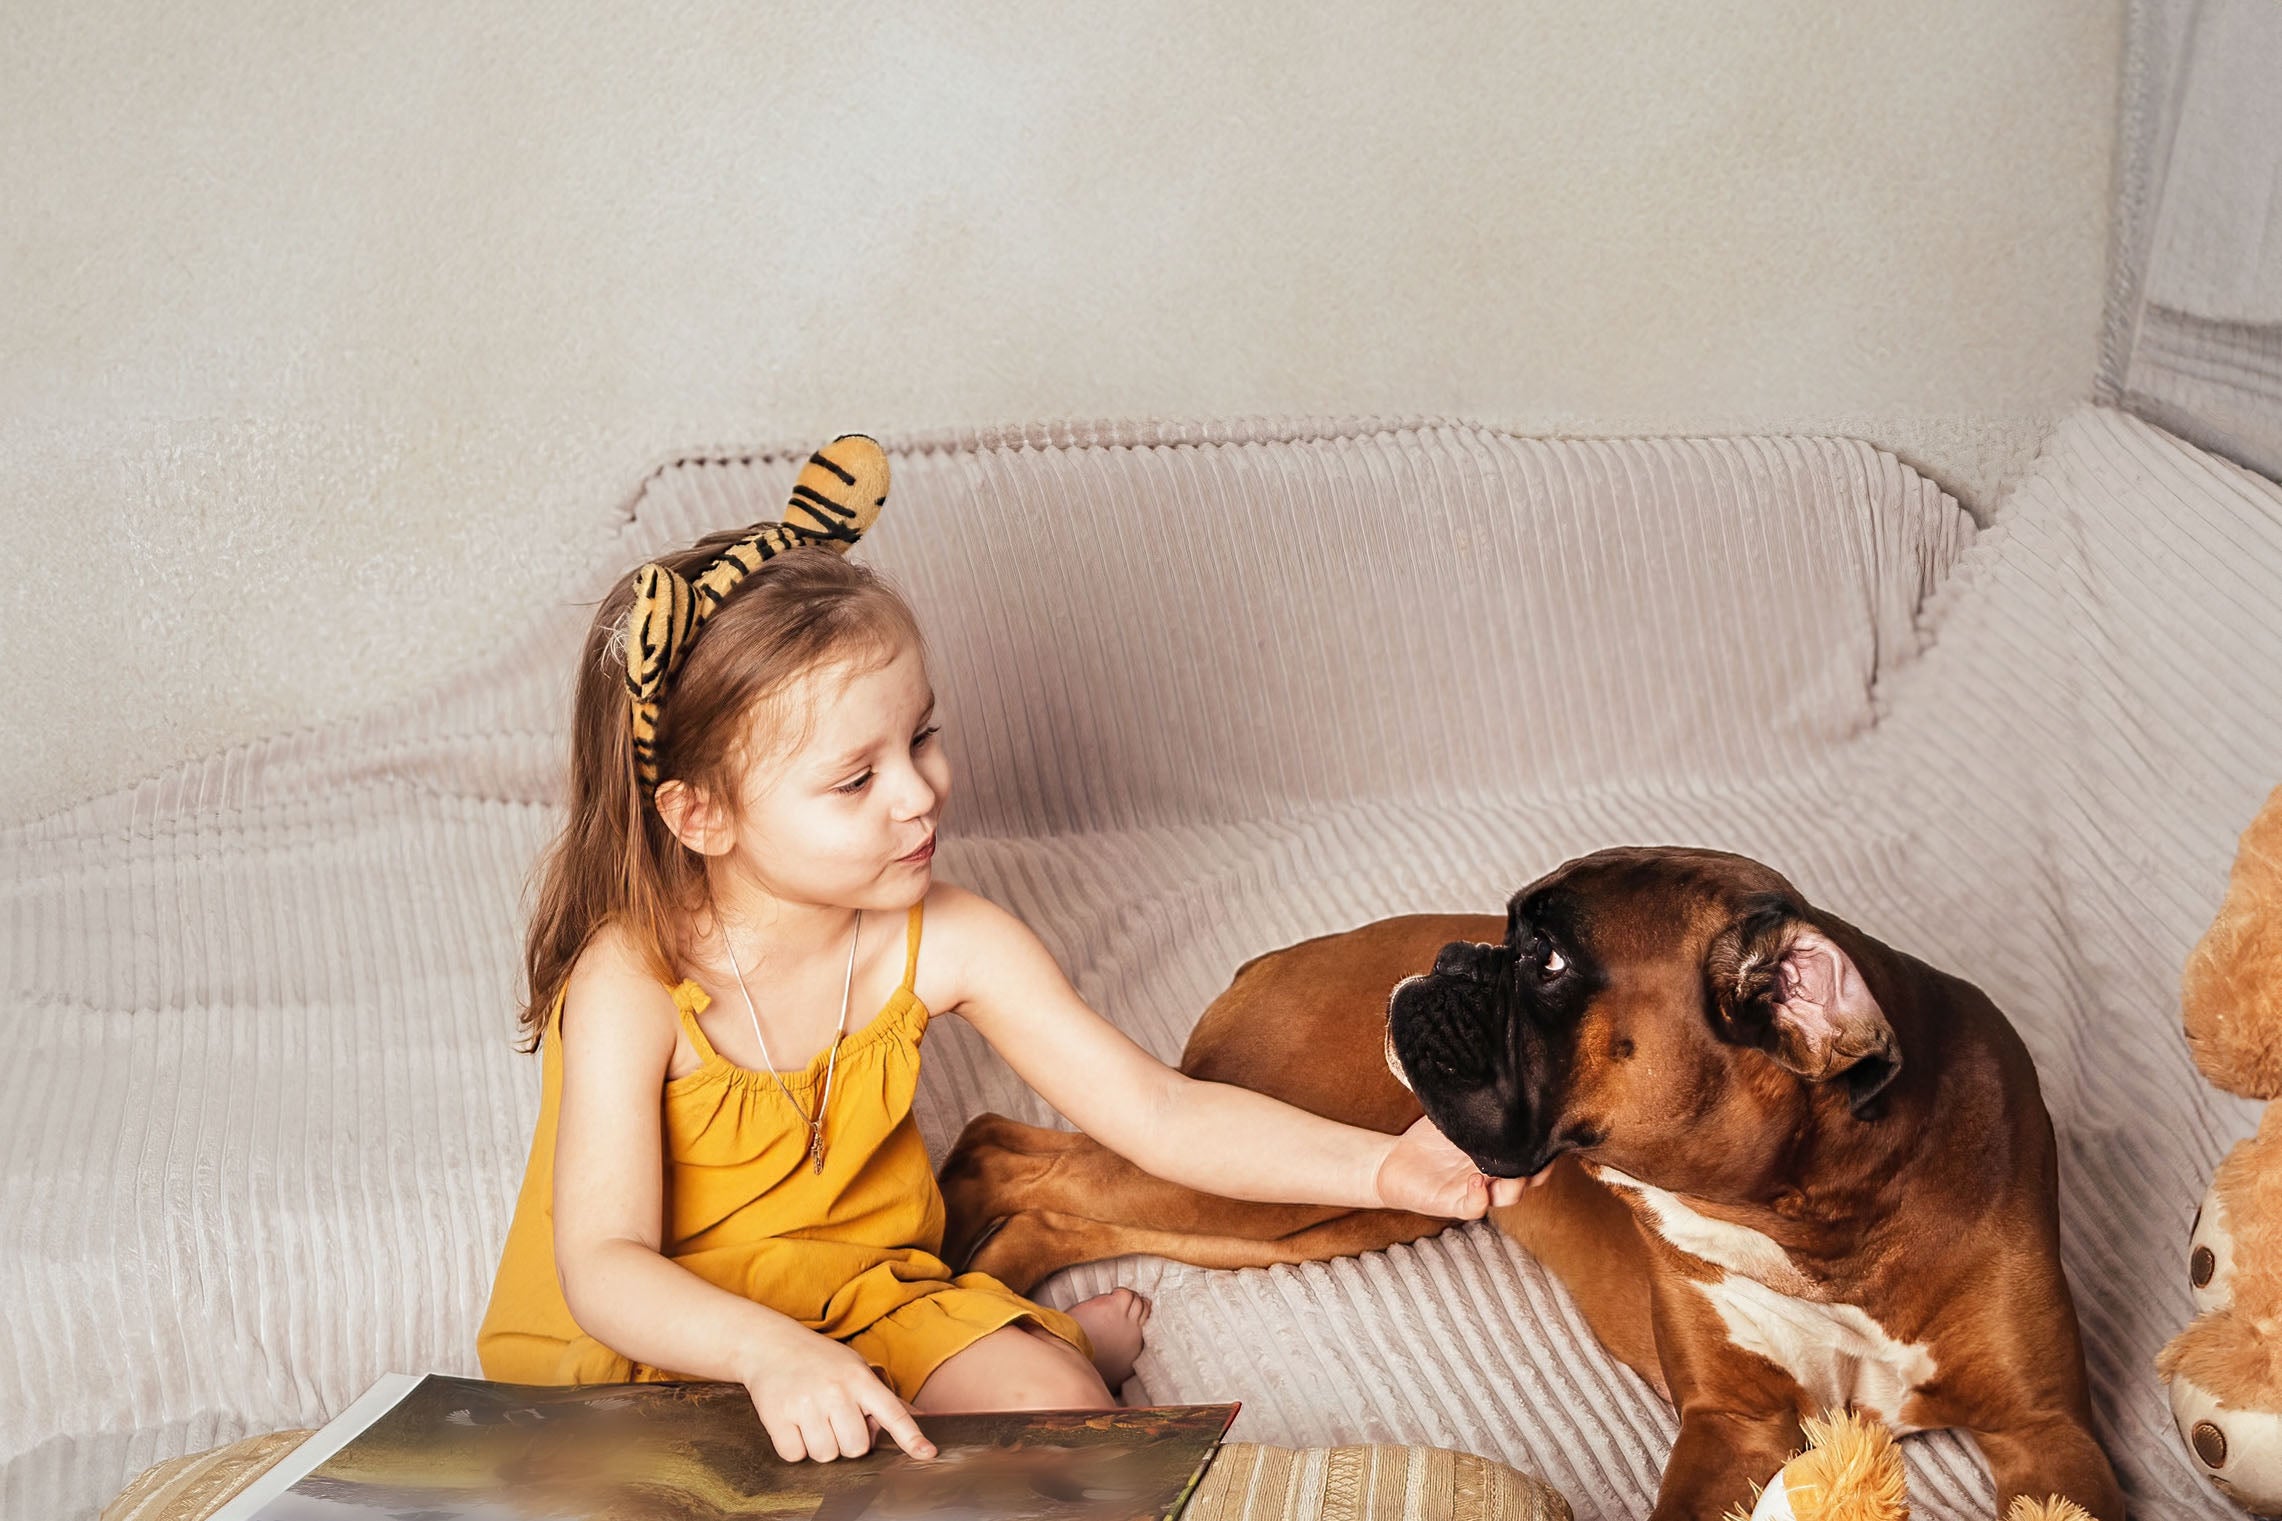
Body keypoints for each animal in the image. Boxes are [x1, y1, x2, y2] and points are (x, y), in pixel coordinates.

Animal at [940, 843, 2117, 1521]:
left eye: (1547, 962)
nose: (1457, 957)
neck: (1812, 1217)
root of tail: (1277, 954)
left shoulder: (2047, 1432)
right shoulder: (1730, 1424)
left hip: (1311, 1208)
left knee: (1052, 1206)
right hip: (1246, 1169)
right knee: (1005, 1147)